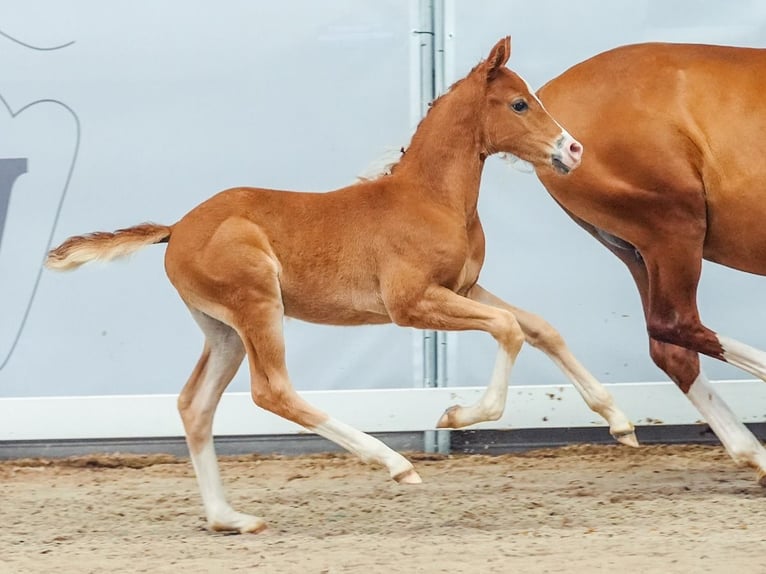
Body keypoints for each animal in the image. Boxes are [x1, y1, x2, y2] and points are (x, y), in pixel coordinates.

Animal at [45, 39, 636, 536]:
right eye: (518, 104)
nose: (574, 150)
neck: (432, 198)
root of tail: (175, 228)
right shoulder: (411, 304)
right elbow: (510, 329)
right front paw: (456, 415)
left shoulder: (464, 288)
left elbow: (539, 327)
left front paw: (620, 423)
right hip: (258, 305)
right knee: (272, 391)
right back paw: (395, 464)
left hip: (223, 330)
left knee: (196, 405)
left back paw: (229, 519)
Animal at [536, 42, 766, 488]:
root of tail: (545, 97)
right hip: (672, 227)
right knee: (674, 324)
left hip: (637, 251)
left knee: (671, 348)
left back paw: (754, 457)